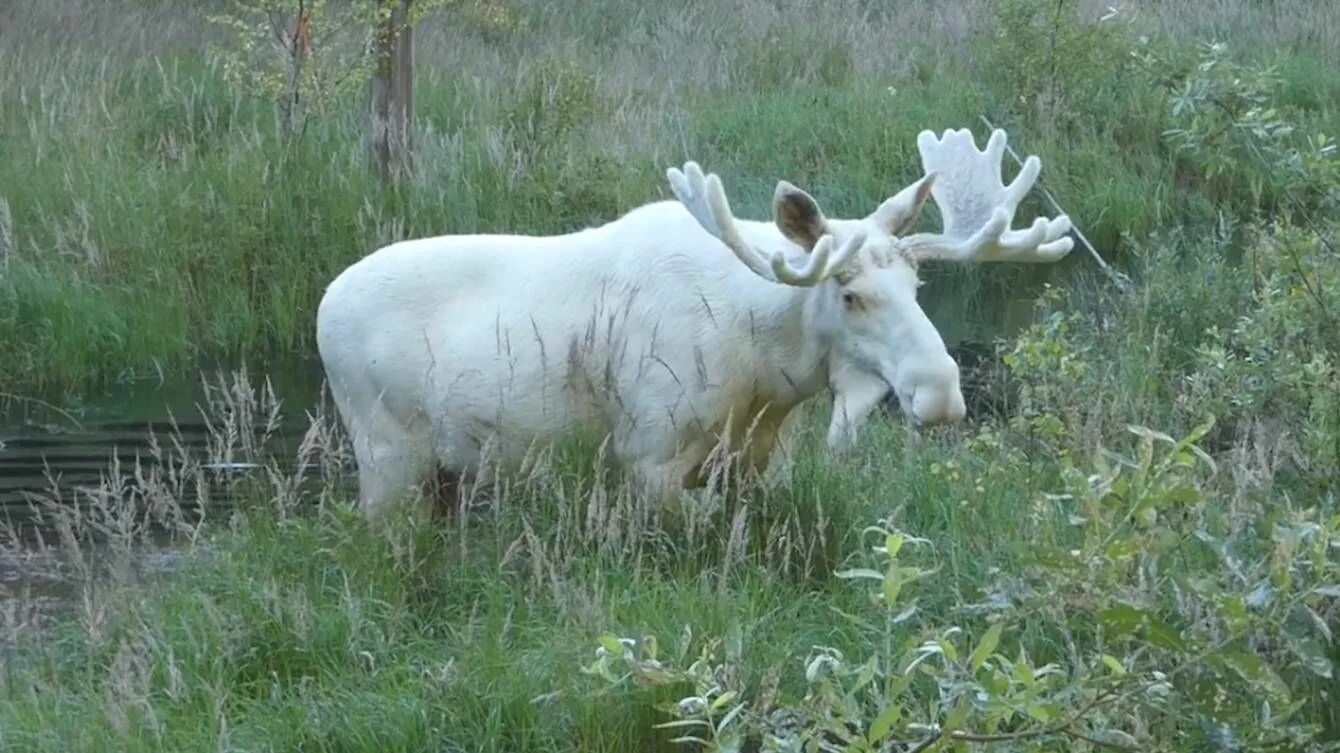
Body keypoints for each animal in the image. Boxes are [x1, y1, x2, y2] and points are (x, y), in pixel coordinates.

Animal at [313, 130, 1066, 514]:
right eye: (849, 293)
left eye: (917, 284)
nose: (939, 392)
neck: (768, 374)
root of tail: (322, 305)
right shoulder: (649, 456)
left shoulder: (761, 461)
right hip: (384, 455)